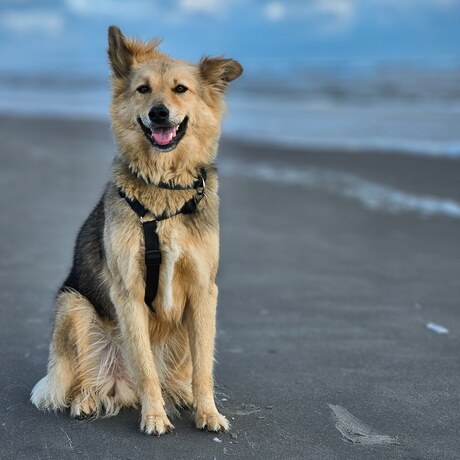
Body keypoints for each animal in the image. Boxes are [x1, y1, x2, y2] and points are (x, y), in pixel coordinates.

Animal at [30, 25, 243, 434]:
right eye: (143, 89)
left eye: (180, 89)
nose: (159, 113)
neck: (164, 189)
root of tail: (119, 384)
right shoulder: (128, 290)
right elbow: (145, 367)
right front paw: (155, 416)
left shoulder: (204, 290)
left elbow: (204, 366)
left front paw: (208, 412)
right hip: (73, 305)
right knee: (87, 377)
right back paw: (86, 400)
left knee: (181, 372)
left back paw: (184, 395)